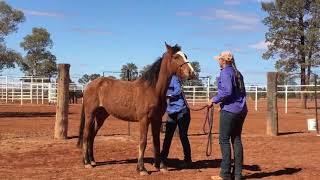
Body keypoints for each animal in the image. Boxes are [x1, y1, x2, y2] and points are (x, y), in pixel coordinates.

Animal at [77, 43, 195, 175]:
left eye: (185, 56)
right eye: (176, 57)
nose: (192, 72)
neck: (152, 89)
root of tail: (89, 86)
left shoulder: (156, 119)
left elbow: (156, 141)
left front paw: (160, 166)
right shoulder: (144, 119)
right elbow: (143, 141)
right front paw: (141, 168)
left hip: (101, 116)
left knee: (92, 136)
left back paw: (92, 161)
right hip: (90, 115)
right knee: (86, 135)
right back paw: (87, 163)